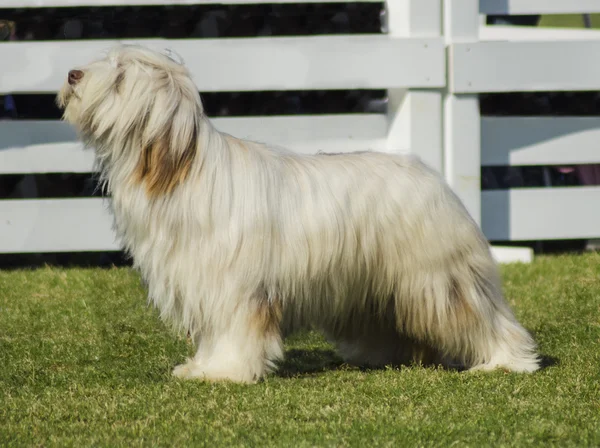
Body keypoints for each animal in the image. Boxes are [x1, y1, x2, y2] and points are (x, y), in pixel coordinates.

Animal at [57, 44, 540, 382]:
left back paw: (506, 361)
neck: (181, 168)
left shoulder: (236, 287)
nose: (72, 73)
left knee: (484, 318)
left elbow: (234, 331)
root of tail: (429, 174)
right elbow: (213, 333)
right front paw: (202, 367)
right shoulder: (205, 283)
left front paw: (227, 371)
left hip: (437, 278)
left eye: (120, 77)